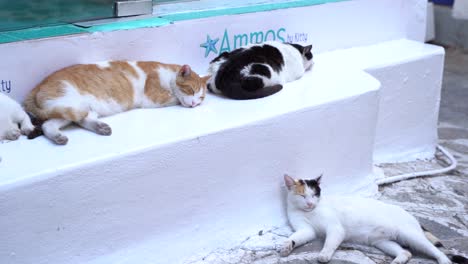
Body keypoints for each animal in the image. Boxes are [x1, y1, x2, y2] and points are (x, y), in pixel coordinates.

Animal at [24, 61, 208, 145]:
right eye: (191, 90)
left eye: (201, 98)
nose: (194, 104)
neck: (167, 74)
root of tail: (38, 85)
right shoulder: (152, 98)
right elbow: (174, 97)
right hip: (71, 104)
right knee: (63, 121)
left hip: (70, 109)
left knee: (59, 123)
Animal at [280, 174, 466, 262]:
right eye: (303, 196)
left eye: (314, 194)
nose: (310, 203)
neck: (309, 212)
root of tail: (410, 215)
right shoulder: (306, 230)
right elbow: (296, 237)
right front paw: (287, 245)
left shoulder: (335, 228)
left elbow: (329, 243)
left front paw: (324, 254)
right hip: (383, 242)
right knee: (405, 252)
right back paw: (398, 261)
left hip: (412, 236)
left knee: (437, 251)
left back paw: (443, 261)